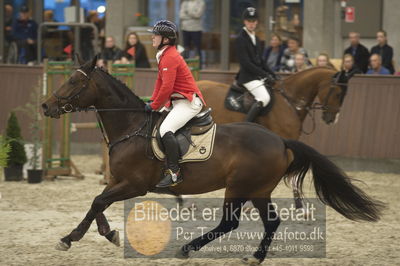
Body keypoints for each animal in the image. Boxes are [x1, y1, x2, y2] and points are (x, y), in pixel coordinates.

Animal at [42, 56, 386, 264]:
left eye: (74, 82)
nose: (46, 106)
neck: (131, 127)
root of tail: (278, 140)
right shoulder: (117, 180)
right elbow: (97, 203)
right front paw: (103, 233)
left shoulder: (134, 185)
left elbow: (98, 201)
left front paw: (72, 238)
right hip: (259, 190)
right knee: (270, 221)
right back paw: (255, 256)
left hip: (240, 187)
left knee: (230, 222)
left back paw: (188, 248)